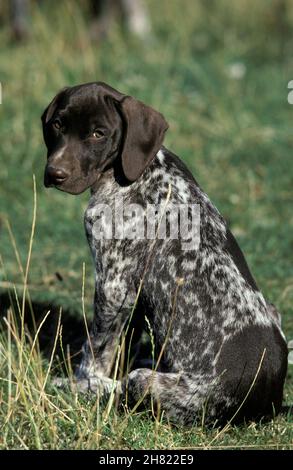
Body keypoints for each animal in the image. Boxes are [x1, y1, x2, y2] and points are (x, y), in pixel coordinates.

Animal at [42, 81, 286, 426]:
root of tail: (269, 402)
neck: (132, 173)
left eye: (98, 134)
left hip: (150, 383)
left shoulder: (113, 284)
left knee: (125, 384)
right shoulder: (131, 291)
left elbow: (97, 351)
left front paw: (80, 383)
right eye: (58, 125)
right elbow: (123, 339)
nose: (55, 173)